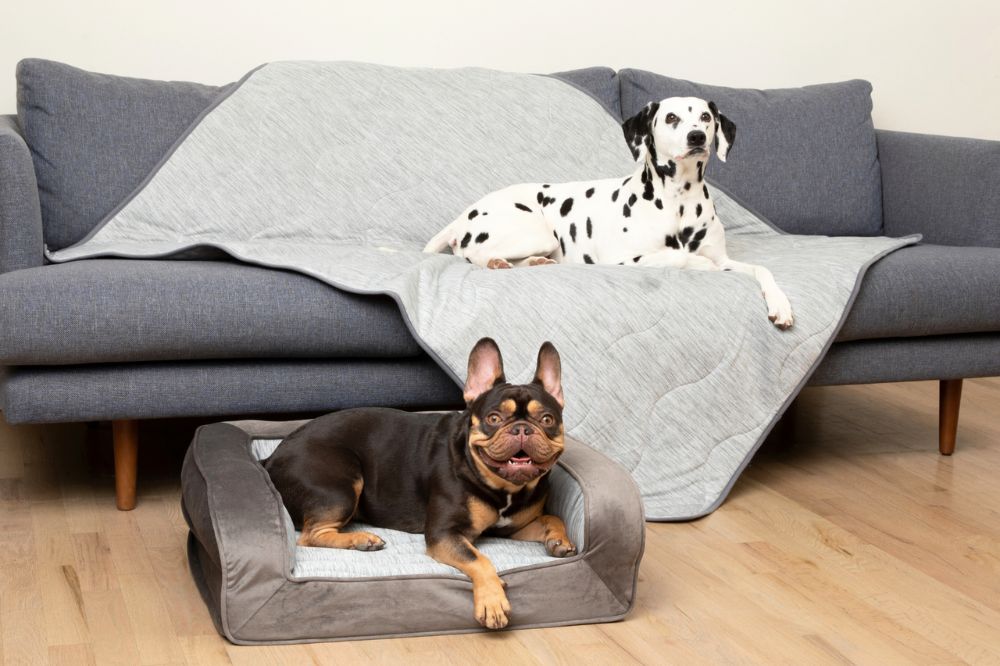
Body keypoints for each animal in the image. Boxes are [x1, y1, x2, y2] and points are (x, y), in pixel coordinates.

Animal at [424, 96, 796, 330]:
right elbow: (680, 257)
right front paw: (698, 265)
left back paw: (530, 263)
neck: (679, 200)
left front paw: (781, 305)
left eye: (706, 117)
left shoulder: (726, 258)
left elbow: (761, 270)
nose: (696, 137)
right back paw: (497, 262)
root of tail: (464, 215)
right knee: (475, 254)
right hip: (535, 232)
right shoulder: (624, 260)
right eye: (671, 118)